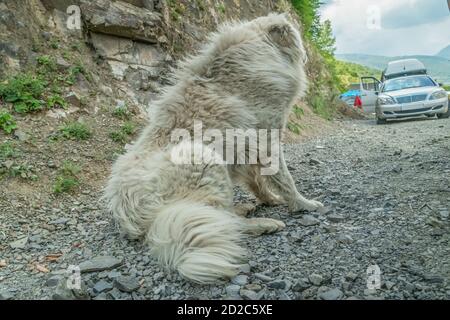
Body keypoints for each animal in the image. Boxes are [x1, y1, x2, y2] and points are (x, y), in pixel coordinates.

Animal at [105, 13, 324, 284]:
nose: (306, 55)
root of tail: (126, 209)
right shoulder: (268, 138)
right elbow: (285, 179)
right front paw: (303, 204)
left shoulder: (249, 146)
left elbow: (258, 181)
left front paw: (271, 199)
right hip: (202, 159)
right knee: (224, 221)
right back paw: (264, 224)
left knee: (221, 216)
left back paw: (244, 208)